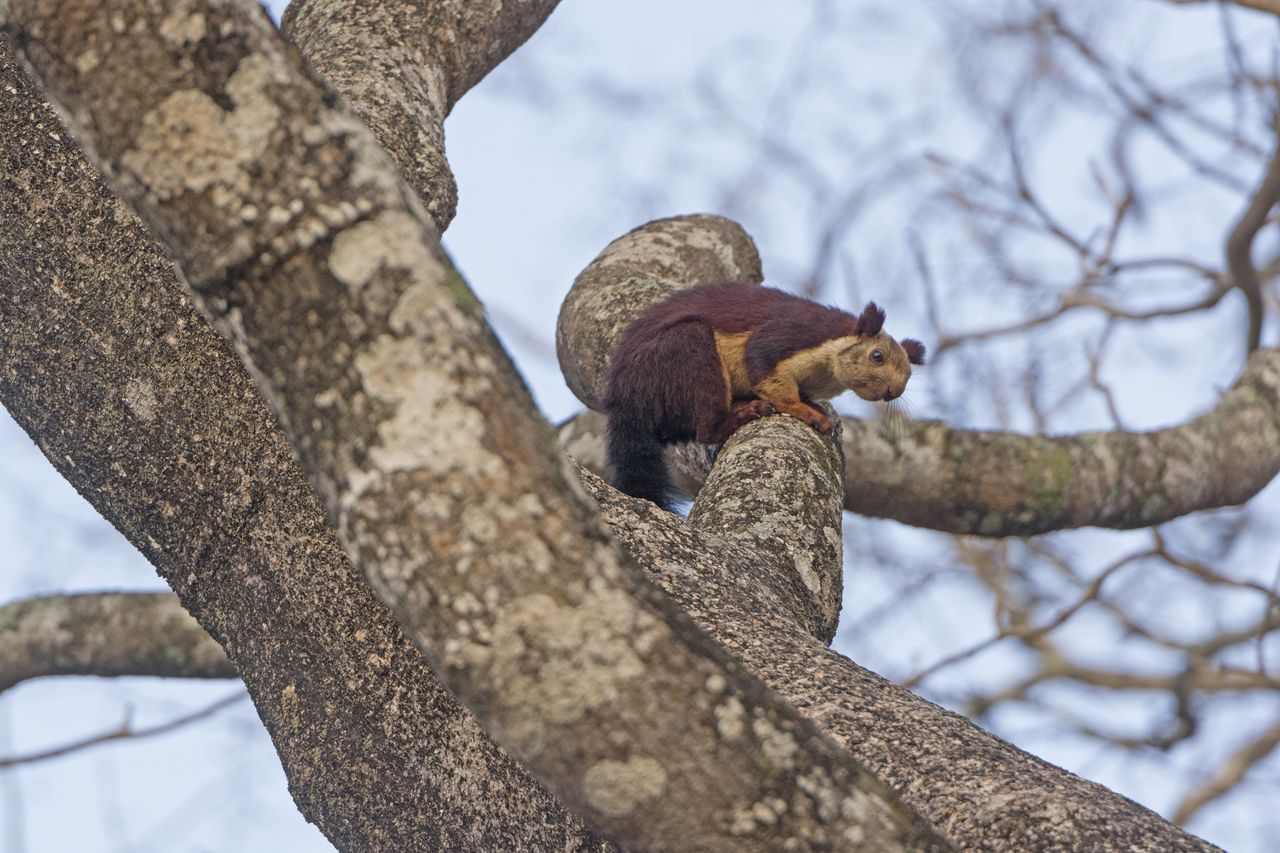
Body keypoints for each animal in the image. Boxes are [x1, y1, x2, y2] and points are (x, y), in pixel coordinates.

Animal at [604, 279, 926, 507]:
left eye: (909, 375)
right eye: (877, 356)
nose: (893, 391)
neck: (828, 370)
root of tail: (626, 400)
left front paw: (813, 404)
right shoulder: (785, 338)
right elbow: (767, 372)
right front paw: (804, 410)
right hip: (684, 352)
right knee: (707, 428)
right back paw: (743, 413)